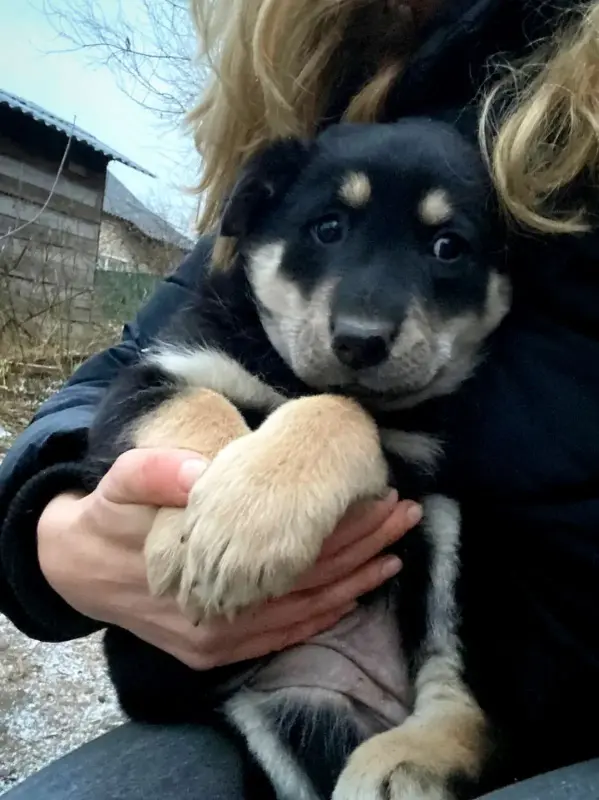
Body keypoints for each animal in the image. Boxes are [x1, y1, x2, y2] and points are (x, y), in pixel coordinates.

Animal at [84, 120, 510, 800]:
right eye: (327, 228)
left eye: (448, 247)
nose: (361, 341)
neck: (282, 369)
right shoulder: (155, 375)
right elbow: (202, 403)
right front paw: (194, 532)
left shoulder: (416, 457)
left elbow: (340, 407)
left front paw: (243, 521)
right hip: (280, 713)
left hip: (449, 528)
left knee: (459, 692)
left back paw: (403, 763)